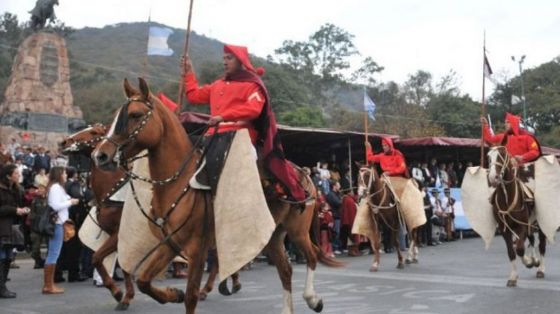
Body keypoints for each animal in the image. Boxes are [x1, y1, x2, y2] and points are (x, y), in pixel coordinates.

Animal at [92, 76, 342, 314]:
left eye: (135, 115)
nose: (100, 156)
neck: (179, 183)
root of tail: (303, 174)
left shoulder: (196, 247)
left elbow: (191, 297)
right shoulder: (170, 243)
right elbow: (144, 281)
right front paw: (172, 294)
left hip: (297, 230)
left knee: (311, 257)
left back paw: (313, 299)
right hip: (272, 235)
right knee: (286, 270)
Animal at [488, 146, 544, 286]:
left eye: (502, 156)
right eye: (488, 157)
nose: (492, 178)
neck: (507, 198)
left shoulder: (521, 226)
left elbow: (519, 249)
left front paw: (529, 262)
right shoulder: (504, 229)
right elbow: (512, 251)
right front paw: (513, 277)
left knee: (542, 245)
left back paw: (541, 268)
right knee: (531, 239)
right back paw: (535, 260)